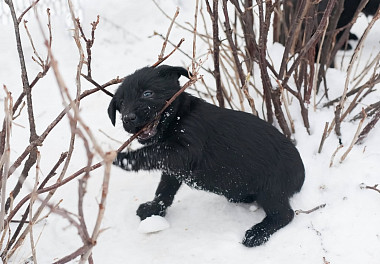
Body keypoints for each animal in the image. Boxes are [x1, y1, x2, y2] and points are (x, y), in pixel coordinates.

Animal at [107, 65, 306, 246]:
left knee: (284, 214)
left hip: (271, 189)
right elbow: (164, 189)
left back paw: (257, 233)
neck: (179, 116)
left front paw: (123, 158)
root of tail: (301, 175)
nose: (128, 118)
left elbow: (151, 152)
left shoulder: (183, 150)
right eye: (121, 103)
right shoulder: (173, 167)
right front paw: (154, 208)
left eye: (147, 93)